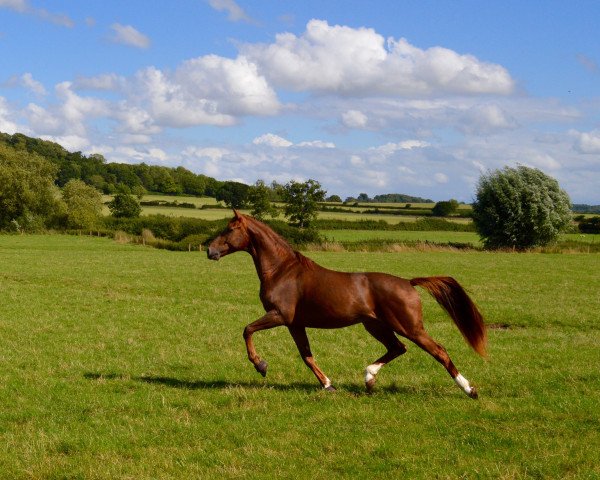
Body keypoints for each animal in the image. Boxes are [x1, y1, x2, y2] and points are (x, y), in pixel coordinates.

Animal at [207, 212, 488, 400]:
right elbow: (306, 355)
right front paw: (328, 385)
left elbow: (247, 330)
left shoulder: (280, 316)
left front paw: (261, 366)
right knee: (398, 348)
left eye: (229, 229)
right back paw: (369, 378)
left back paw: (469, 390)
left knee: (438, 351)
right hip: (375, 325)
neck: (282, 271)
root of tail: (408, 283)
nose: (210, 251)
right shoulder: (295, 324)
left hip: (409, 326)